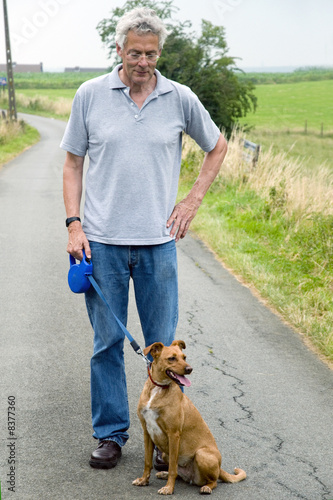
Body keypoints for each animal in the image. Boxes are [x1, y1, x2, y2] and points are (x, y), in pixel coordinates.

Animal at [131, 342, 245, 494]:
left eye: (184, 357)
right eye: (172, 358)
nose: (190, 369)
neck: (158, 389)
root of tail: (220, 468)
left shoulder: (173, 435)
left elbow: (172, 468)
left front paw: (169, 488)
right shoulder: (147, 432)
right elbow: (148, 462)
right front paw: (144, 480)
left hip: (201, 454)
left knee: (214, 481)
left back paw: (206, 487)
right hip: (166, 453)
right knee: (179, 474)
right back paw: (164, 474)